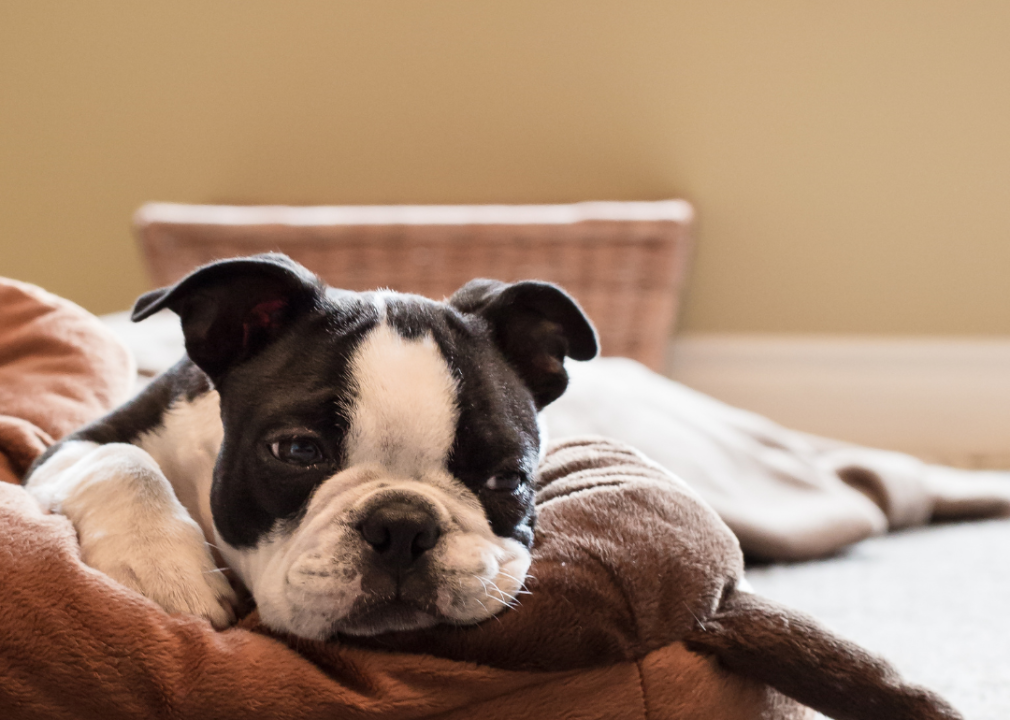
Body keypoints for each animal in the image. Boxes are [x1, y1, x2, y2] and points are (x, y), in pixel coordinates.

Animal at [21, 255, 597, 638]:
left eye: (508, 479)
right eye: (297, 452)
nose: (403, 526)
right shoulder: (70, 447)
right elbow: (125, 460)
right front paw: (163, 569)